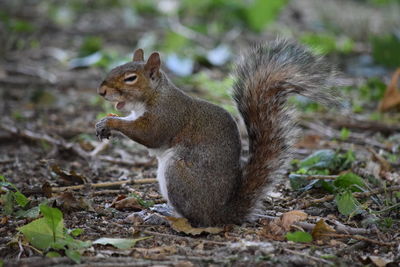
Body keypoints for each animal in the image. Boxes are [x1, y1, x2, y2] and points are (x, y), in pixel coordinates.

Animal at [95, 38, 340, 227]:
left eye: (130, 78)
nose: (101, 91)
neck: (154, 95)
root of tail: (221, 214)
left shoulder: (167, 116)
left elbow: (149, 134)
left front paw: (111, 122)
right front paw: (105, 120)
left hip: (177, 174)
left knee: (195, 219)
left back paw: (165, 216)